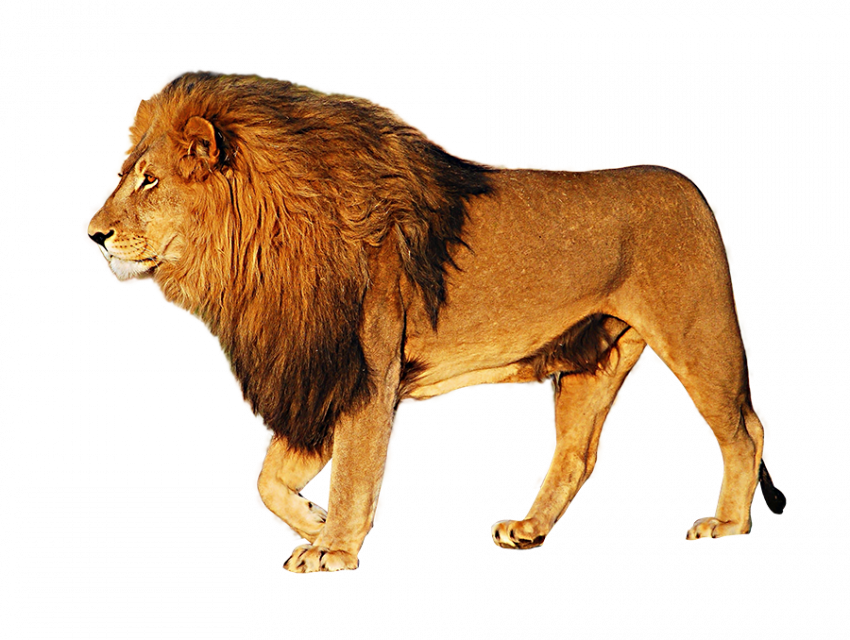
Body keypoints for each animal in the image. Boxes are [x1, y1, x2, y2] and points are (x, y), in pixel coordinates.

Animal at [83, 68, 786, 574]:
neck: (256, 254)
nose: (91, 234)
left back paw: (729, 525)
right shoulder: (318, 375)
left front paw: (333, 549)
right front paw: (314, 524)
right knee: (576, 455)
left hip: (698, 338)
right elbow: (265, 482)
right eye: (123, 176)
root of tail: (691, 187)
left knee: (747, 430)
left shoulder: (364, 373)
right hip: (590, 359)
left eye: (149, 182)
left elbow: (352, 470)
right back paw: (528, 531)